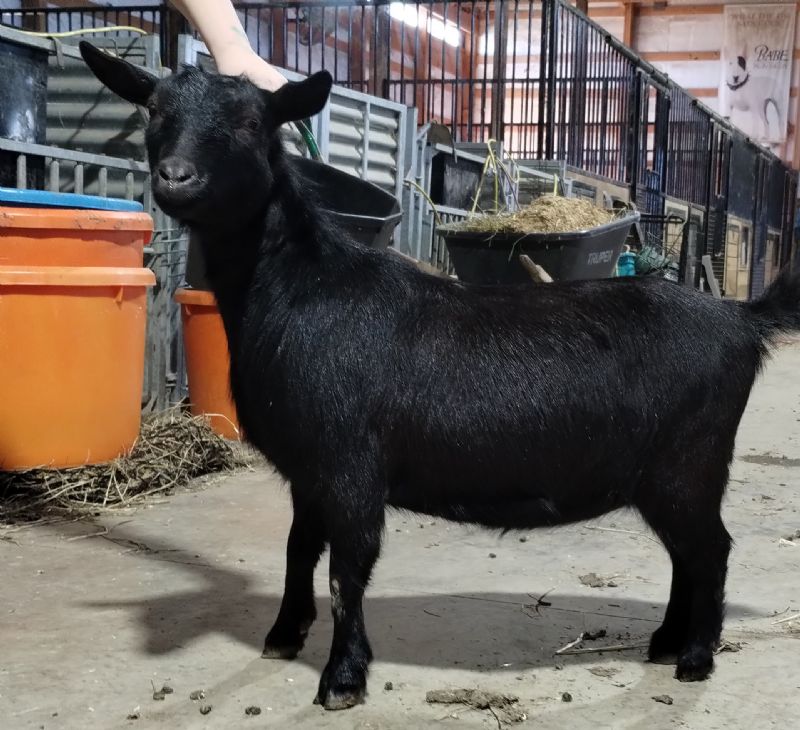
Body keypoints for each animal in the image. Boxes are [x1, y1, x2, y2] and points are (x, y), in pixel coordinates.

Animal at [80, 42, 800, 711]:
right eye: (156, 111)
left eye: (251, 122)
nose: (176, 178)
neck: (302, 290)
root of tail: (741, 318)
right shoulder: (311, 470)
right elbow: (298, 550)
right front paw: (285, 634)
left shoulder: (351, 467)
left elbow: (347, 571)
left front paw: (342, 678)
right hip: (664, 475)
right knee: (687, 552)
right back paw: (665, 642)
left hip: (689, 462)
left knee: (711, 549)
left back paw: (696, 657)